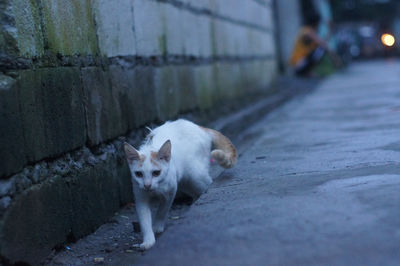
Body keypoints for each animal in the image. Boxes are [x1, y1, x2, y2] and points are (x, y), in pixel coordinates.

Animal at [124, 118, 238, 249]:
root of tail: (198, 127)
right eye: (138, 174)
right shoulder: (140, 196)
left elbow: (162, 210)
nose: (147, 185)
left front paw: (157, 227)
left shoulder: (170, 192)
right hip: (186, 182)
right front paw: (148, 240)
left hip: (195, 175)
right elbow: (144, 220)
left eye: (156, 173)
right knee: (194, 192)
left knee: (207, 184)